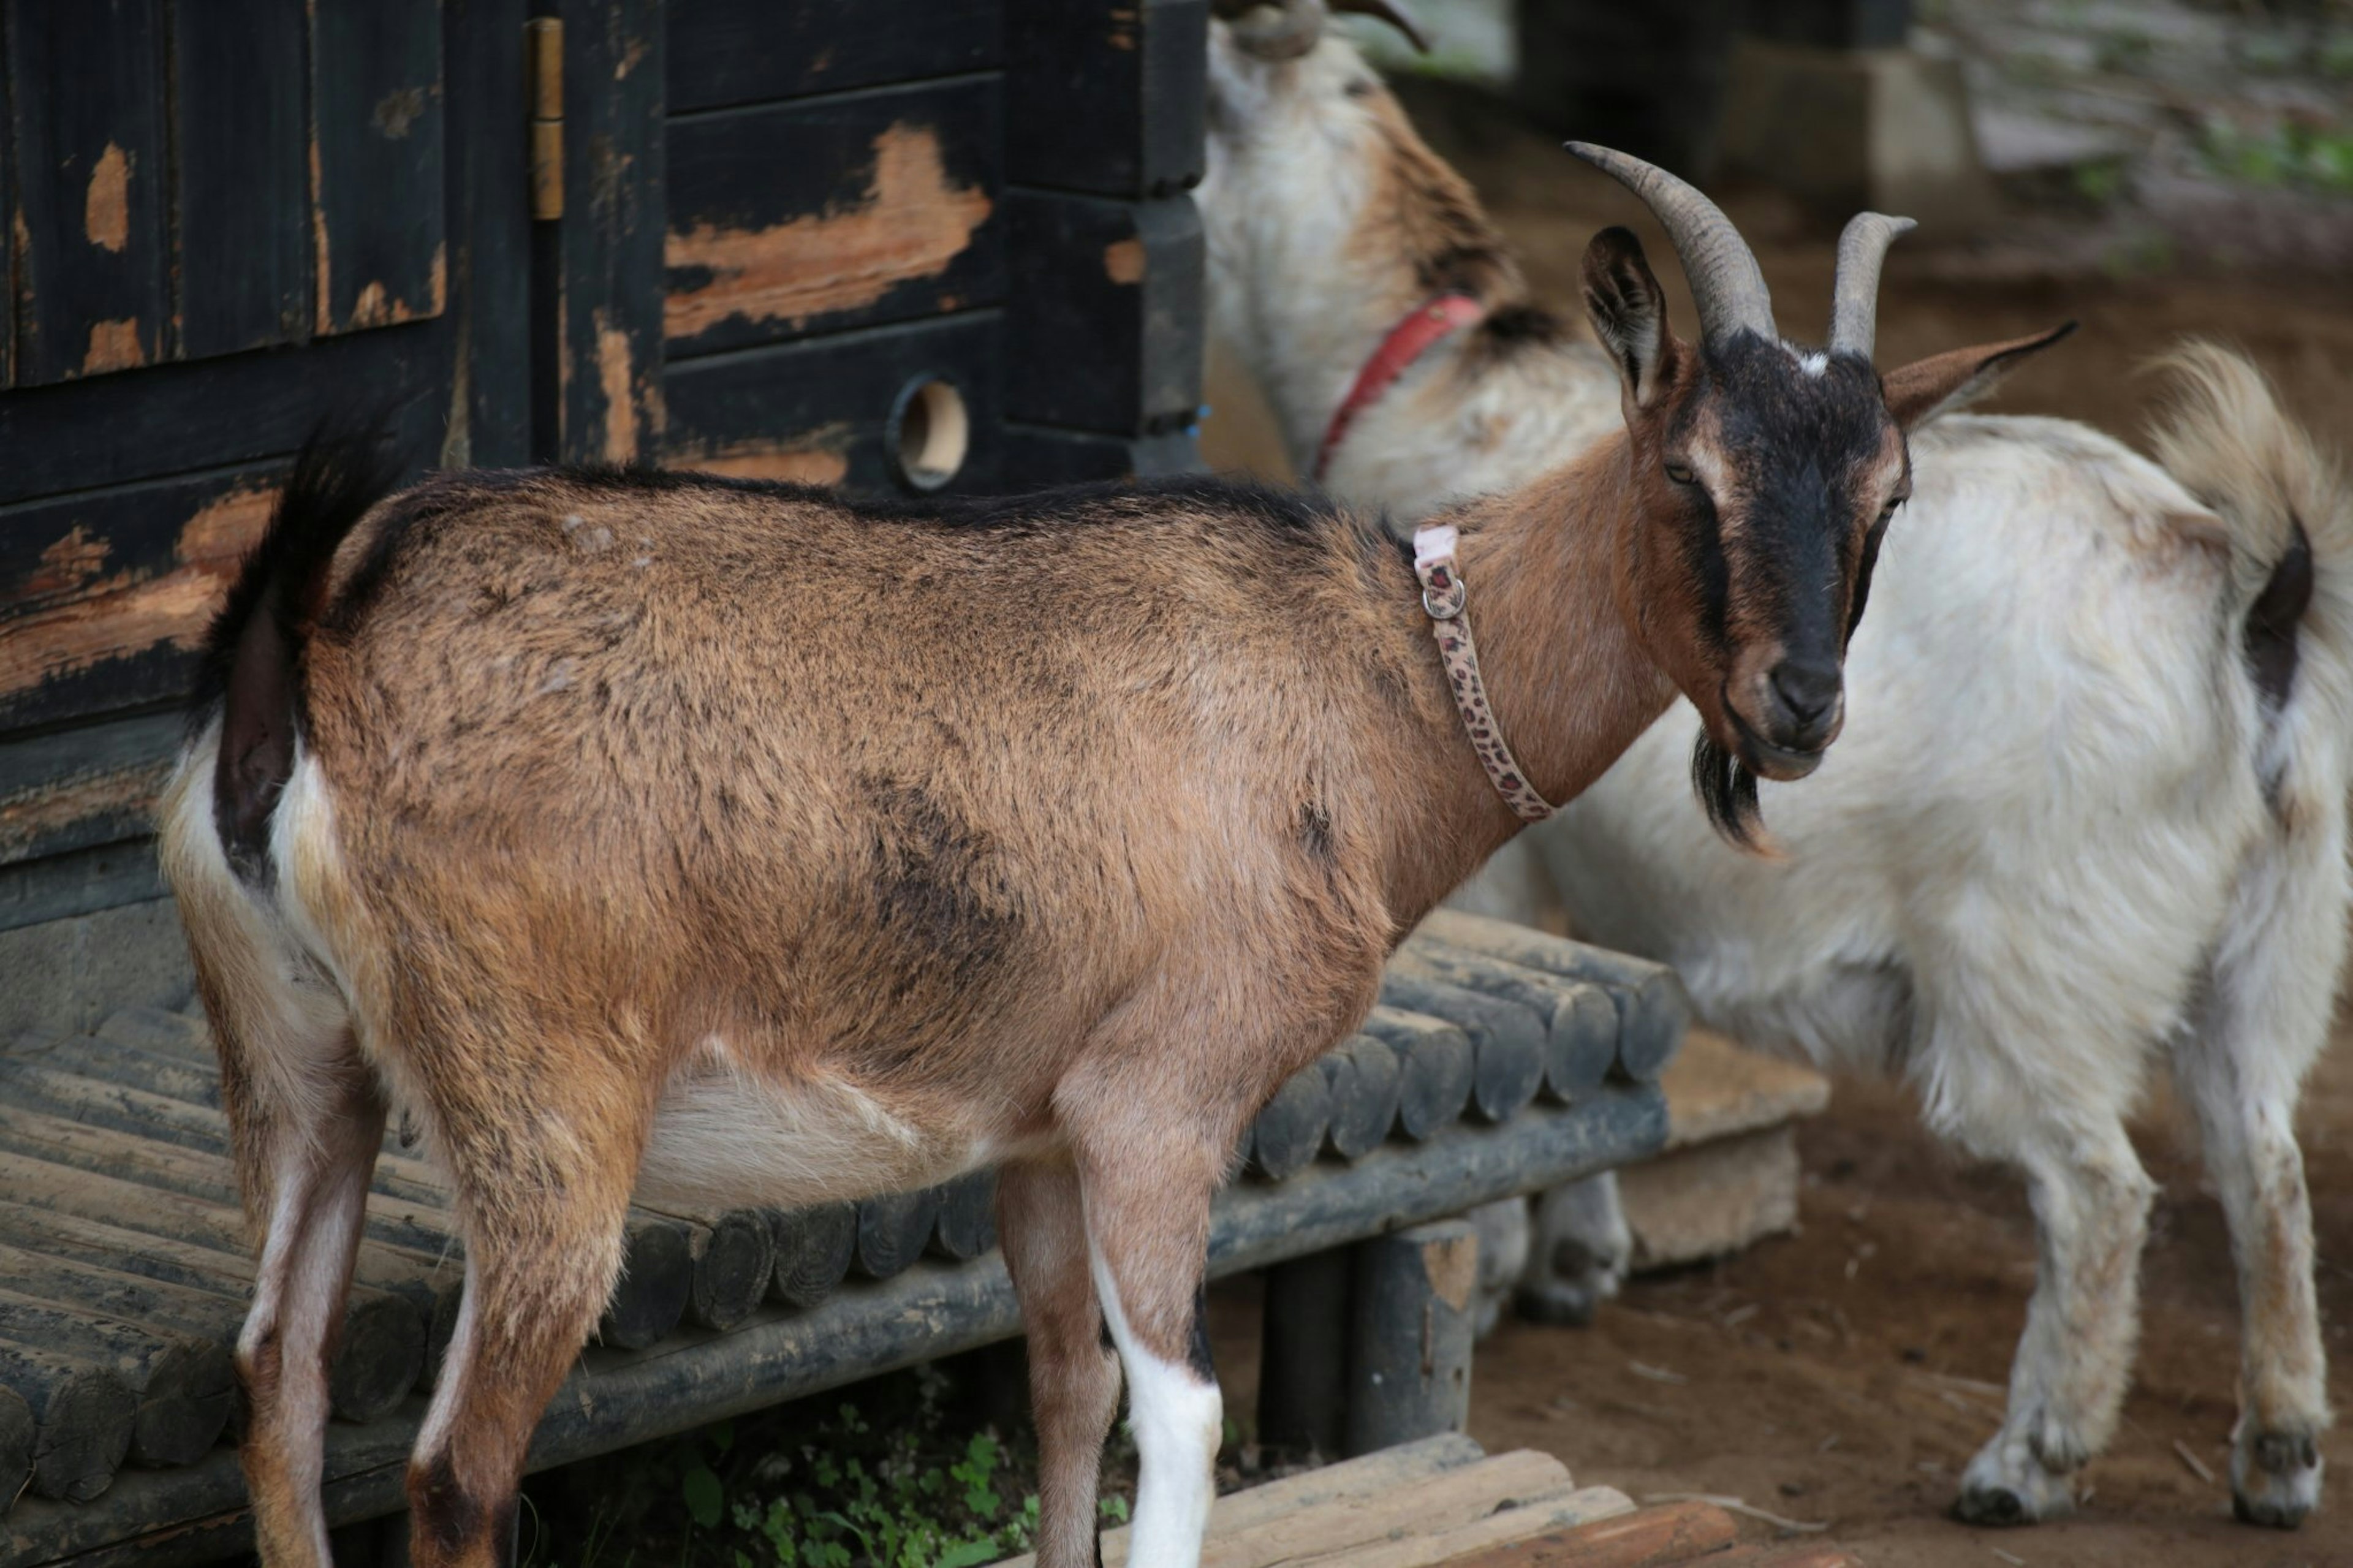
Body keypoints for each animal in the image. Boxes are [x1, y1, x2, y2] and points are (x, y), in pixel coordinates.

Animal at [1205, 0, 2353, 1516]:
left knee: (2100, 1190)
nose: (1801, 705)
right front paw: (1583, 1256)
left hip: (2039, 963)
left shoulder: (1493, 844)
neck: (1441, 378)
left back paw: (2025, 1460)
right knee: (2265, 1160)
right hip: (2274, 942)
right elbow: (1602, 1020)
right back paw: (2277, 1453)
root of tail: (2247, 604)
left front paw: (1502, 1269)